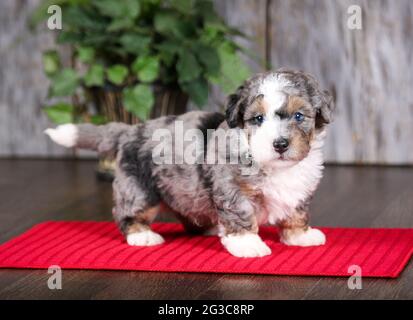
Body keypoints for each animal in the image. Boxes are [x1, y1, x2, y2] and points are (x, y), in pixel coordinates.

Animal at [45, 68, 334, 258]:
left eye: (299, 116)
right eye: (258, 119)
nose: (280, 144)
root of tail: (130, 130)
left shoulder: (299, 191)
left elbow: (296, 212)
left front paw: (300, 235)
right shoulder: (232, 188)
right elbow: (241, 214)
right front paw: (247, 244)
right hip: (140, 189)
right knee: (127, 213)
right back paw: (142, 234)